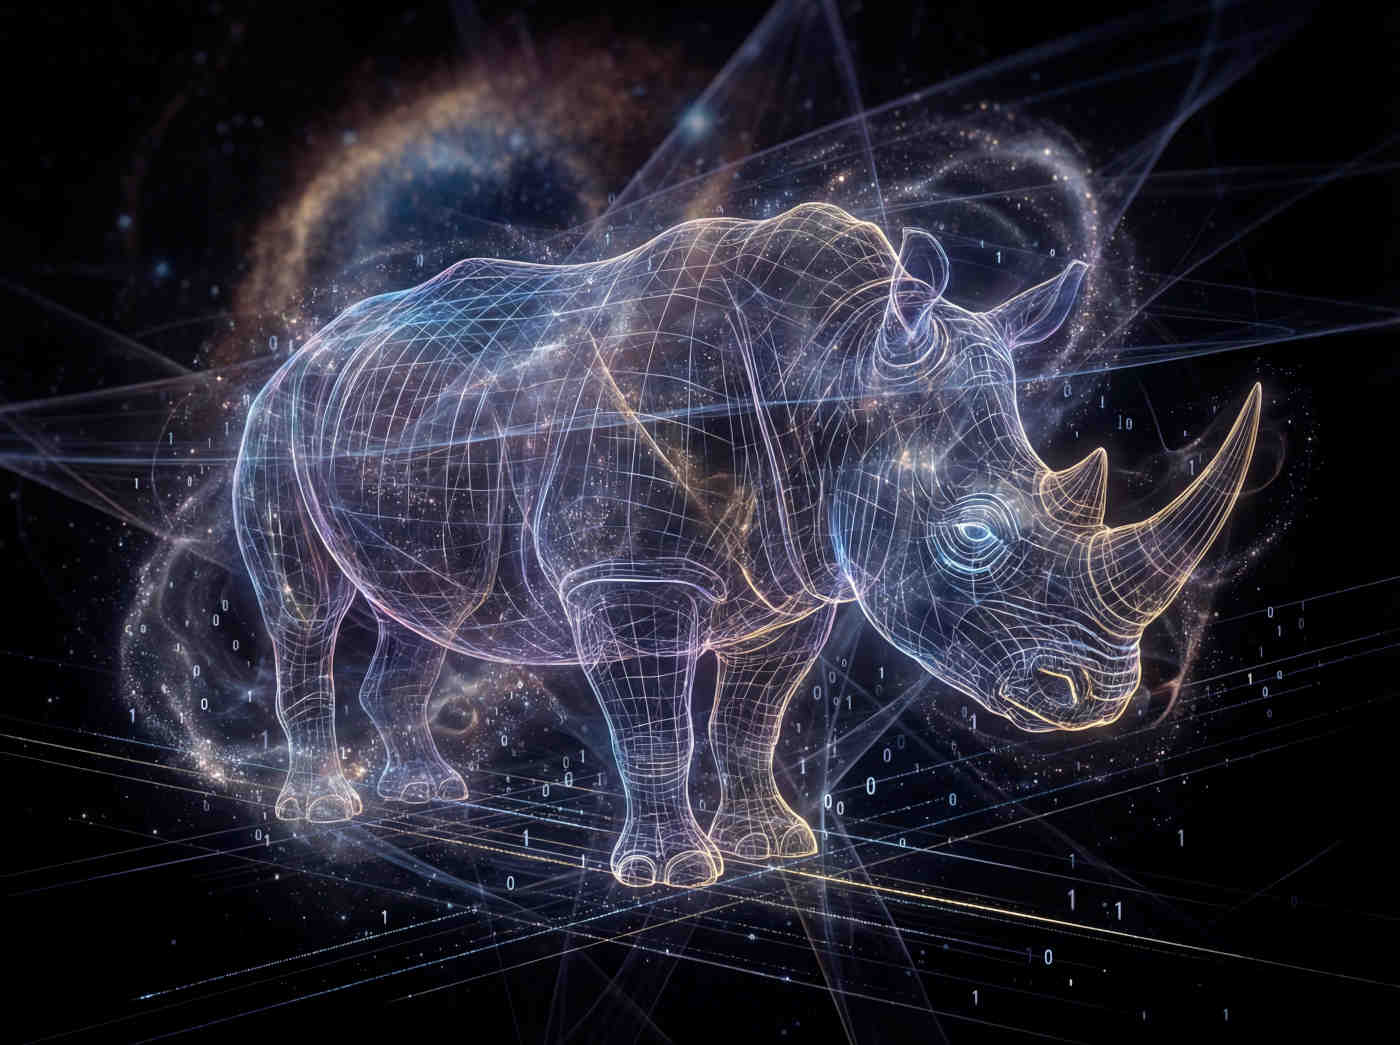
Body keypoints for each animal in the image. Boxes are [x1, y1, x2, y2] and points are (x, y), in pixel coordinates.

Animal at [233, 202, 1260, 888]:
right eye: (972, 534)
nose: (1102, 697)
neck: (835, 365)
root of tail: (306, 347)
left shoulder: (800, 577)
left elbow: (750, 720)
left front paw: (773, 848)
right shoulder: (630, 576)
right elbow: (657, 727)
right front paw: (669, 877)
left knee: (423, 610)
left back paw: (428, 795)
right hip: (277, 418)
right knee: (305, 606)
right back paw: (328, 809)